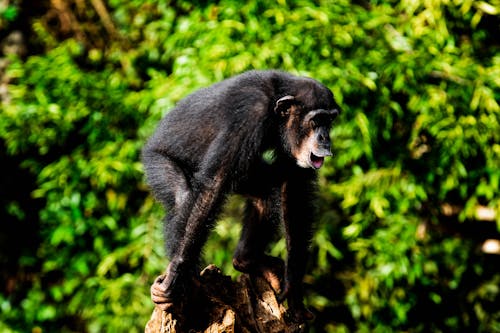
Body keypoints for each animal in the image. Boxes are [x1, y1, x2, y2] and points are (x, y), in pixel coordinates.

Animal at [143, 68, 342, 322]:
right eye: (316, 120)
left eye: (330, 121)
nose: (325, 137)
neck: (275, 109)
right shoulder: (248, 114)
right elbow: (213, 185)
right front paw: (175, 276)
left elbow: (295, 188)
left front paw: (295, 289)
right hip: (156, 161)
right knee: (185, 197)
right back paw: (185, 283)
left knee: (264, 195)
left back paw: (247, 261)